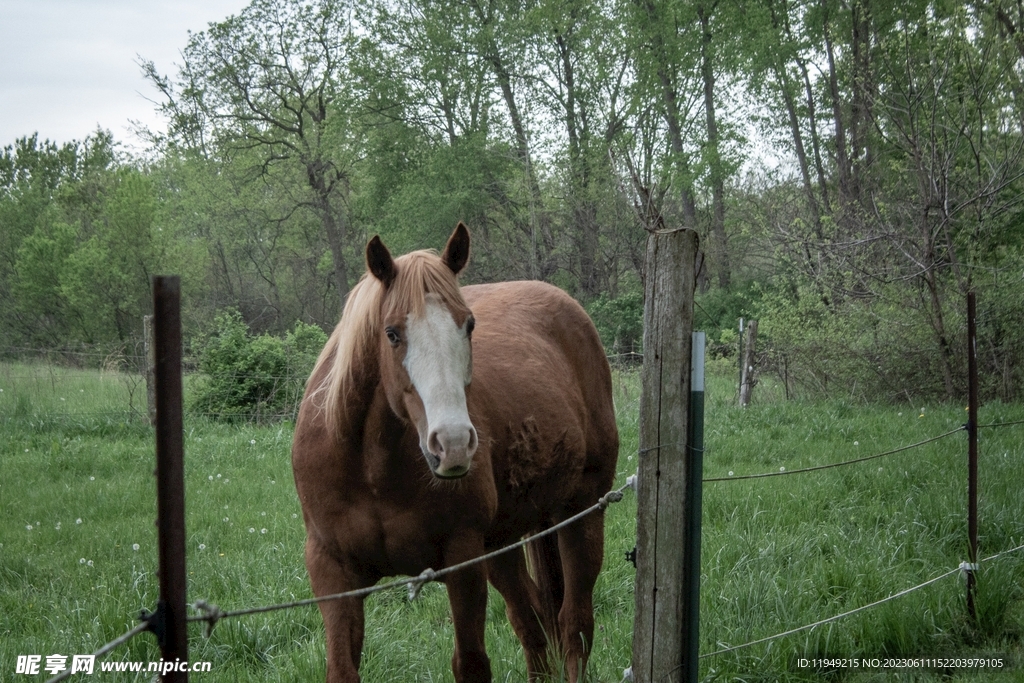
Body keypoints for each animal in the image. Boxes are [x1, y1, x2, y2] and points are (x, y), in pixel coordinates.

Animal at [292, 223, 619, 682]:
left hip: (581, 512)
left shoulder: (463, 562)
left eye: (469, 325)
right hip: (504, 541)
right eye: (392, 333)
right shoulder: (331, 572)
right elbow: (341, 669)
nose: (453, 444)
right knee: (533, 623)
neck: (371, 470)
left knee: (574, 625)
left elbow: (472, 663)